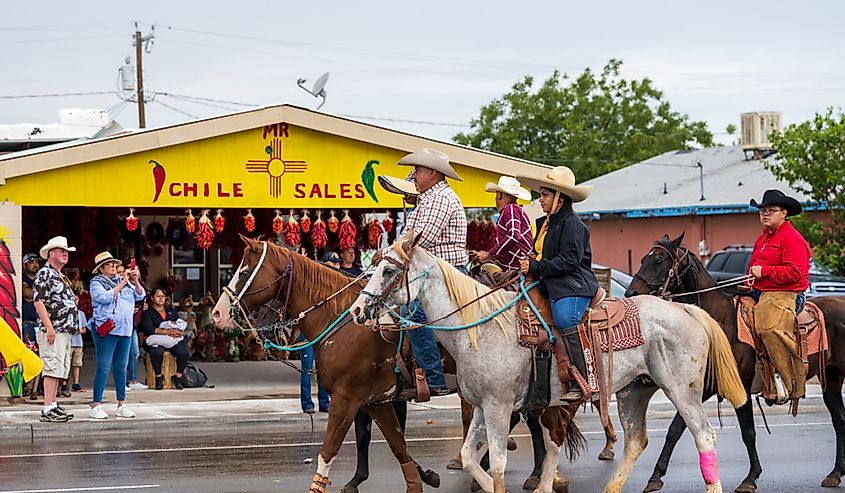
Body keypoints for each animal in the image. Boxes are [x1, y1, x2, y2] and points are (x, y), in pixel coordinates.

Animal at [628, 233, 844, 490]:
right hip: (831, 377)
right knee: (839, 419)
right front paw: (655, 477)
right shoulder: (704, 388)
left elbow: (748, 433)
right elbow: (676, 428)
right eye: (643, 258)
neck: (720, 324)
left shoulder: (741, 386)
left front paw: (750, 478)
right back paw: (835, 473)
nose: (631, 293)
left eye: (659, 260)